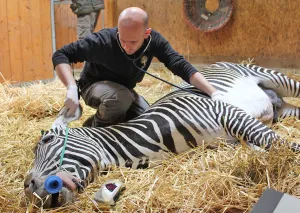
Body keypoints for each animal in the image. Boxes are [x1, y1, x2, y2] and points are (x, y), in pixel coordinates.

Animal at [24, 62, 300, 208]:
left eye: (47, 140)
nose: (28, 188)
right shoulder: (228, 141)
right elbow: (261, 146)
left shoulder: (226, 112)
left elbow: (276, 142)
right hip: (282, 110)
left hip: (274, 79)